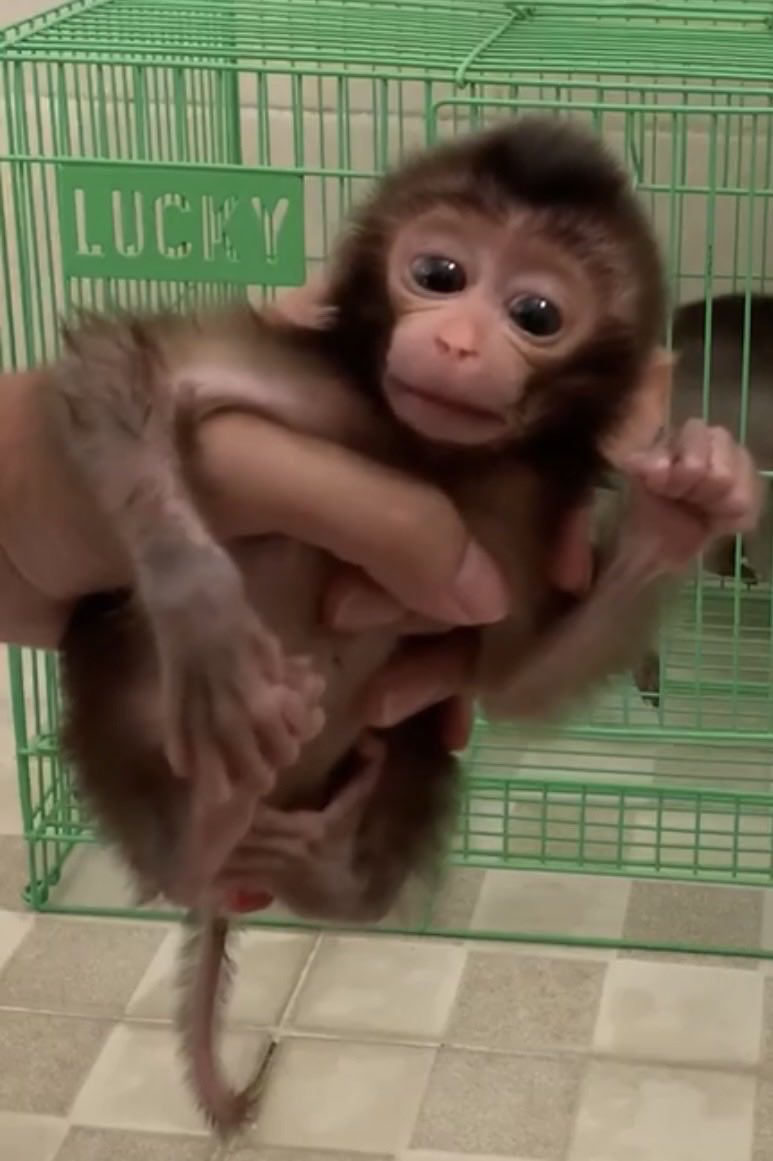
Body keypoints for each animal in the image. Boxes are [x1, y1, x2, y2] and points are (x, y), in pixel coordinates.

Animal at [43, 116, 762, 1135]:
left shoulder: (514, 512)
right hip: (124, 726)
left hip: (384, 756)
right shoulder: (316, 384)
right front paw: (203, 613)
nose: (456, 341)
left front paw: (685, 508)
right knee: (160, 812)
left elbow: (512, 677)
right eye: (438, 273)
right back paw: (200, 826)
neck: (429, 453)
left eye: (536, 313)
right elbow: (131, 366)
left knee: (398, 786)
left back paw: (318, 862)